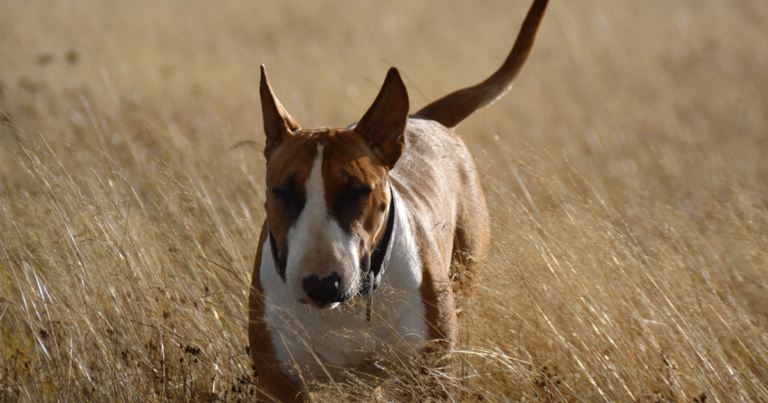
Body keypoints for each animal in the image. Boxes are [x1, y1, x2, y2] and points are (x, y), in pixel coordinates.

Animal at [249, 1, 548, 400]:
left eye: (357, 190)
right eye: (284, 192)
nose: (322, 285)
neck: (348, 308)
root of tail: (422, 118)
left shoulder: (429, 374)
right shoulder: (275, 381)